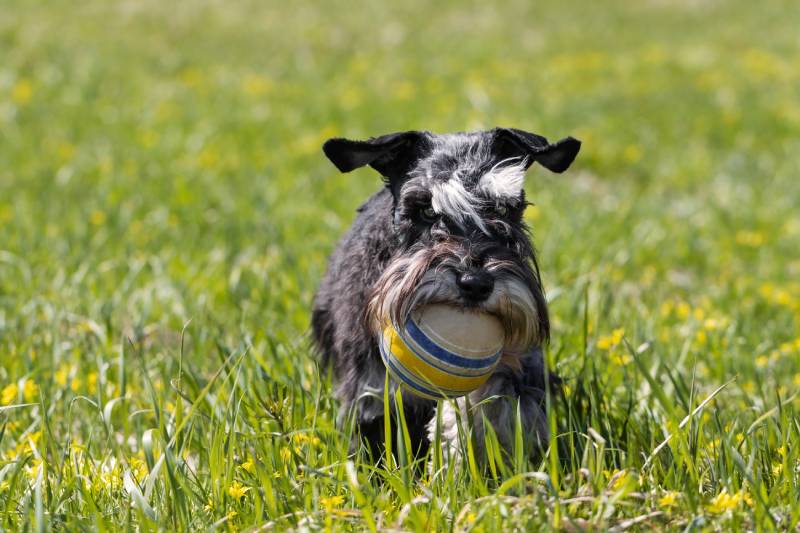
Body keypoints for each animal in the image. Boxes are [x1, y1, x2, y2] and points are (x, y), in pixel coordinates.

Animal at [310, 129, 580, 462]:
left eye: (503, 209)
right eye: (426, 210)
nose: (475, 283)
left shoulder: (522, 371)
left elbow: (497, 403)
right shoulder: (371, 393)